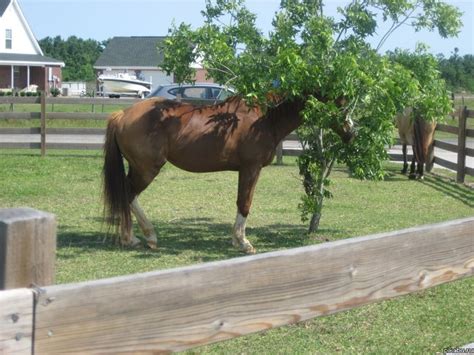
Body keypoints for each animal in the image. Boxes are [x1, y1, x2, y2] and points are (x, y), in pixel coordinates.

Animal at [103, 96, 356, 254]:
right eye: (340, 102)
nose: (351, 132)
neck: (265, 117)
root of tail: (122, 114)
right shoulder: (251, 168)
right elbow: (245, 203)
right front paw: (243, 242)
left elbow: (242, 202)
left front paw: (237, 239)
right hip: (147, 169)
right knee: (127, 196)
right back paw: (137, 238)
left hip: (138, 168)